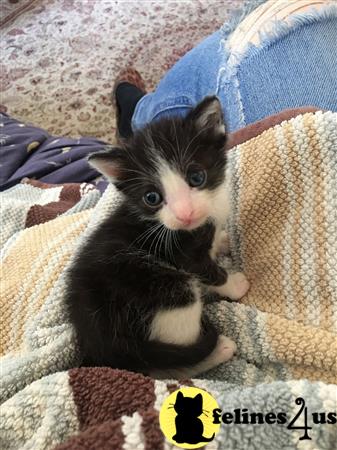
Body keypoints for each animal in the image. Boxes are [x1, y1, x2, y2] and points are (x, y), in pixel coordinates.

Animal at [66, 96, 249, 378]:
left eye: (197, 177)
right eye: (151, 197)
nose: (185, 214)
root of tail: (103, 341)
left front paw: (221, 240)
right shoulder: (183, 254)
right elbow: (208, 271)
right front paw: (235, 284)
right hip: (170, 295)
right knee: (168, 368)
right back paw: (219, 350)